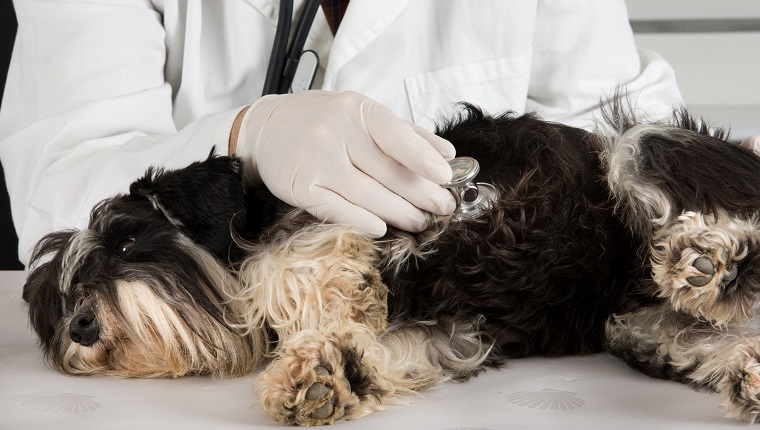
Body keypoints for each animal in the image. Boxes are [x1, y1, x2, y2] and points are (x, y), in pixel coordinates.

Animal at [19, 99, 760, 424]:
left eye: (127, 243)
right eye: (57, 302)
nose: (82, 326)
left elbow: (294, 262)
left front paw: (326, 295)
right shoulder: (458, 330)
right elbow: (381, 349)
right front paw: (324, 374)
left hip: (645, 147)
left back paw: (709, 257)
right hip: (634, 325)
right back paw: (739, 357)